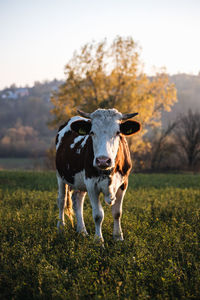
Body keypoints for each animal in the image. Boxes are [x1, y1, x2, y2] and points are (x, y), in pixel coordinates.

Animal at [55, 108, 141, 241]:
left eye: (118, 133)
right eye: (92, 133)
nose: (103, 160)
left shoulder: (123, 184)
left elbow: (117, 212)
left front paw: (118, 237)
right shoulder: (91, 184)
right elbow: (98, 215)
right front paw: (98, 240)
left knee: (77, 200)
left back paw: (82, 231)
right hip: (60, 176)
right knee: (61, 200)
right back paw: (61, 228)